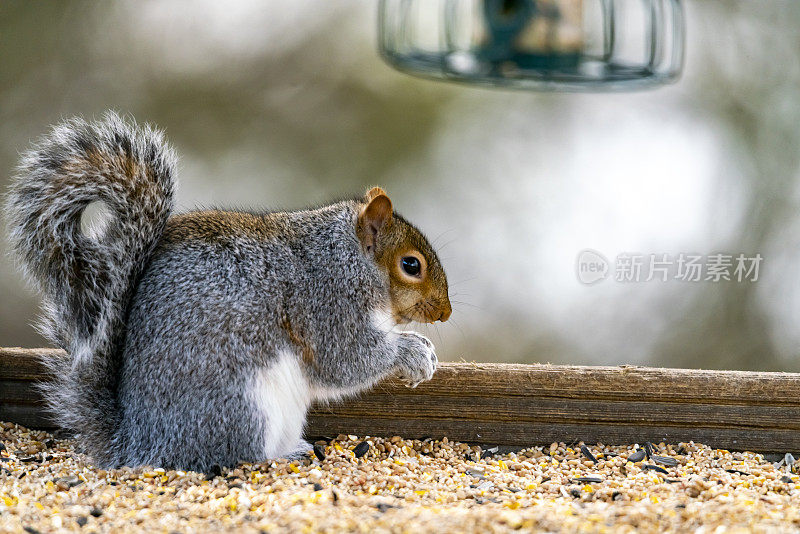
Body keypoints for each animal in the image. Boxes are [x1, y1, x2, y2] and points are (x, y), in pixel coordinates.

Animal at [6, 113, 454, 474]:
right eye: (410, 265)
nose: (445, 313)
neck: (348, 259)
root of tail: (140, 444)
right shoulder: (326, 300)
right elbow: (345, 360)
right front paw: (413, 352)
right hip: (244, 407)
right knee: (236, 456)